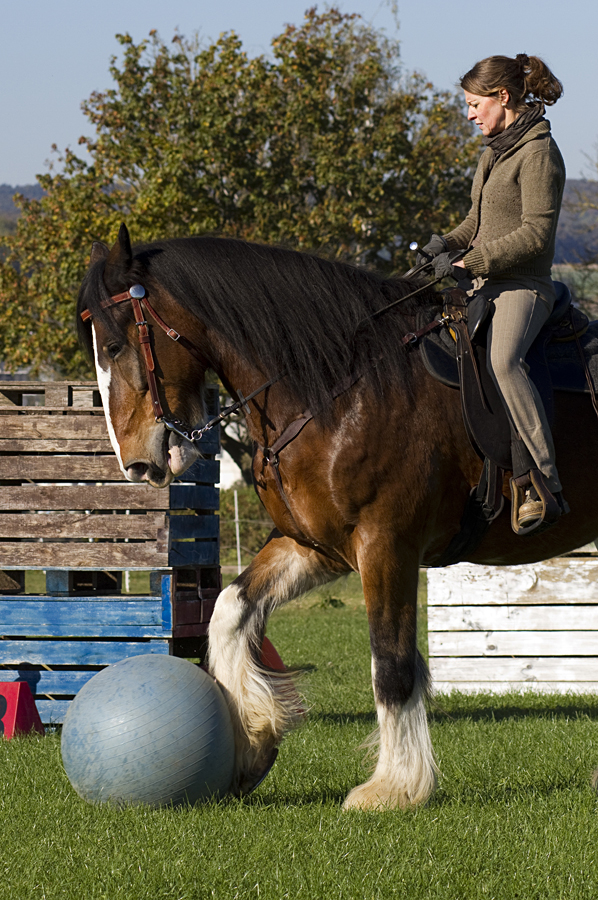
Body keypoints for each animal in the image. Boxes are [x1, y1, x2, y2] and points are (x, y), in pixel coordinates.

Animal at [77, 223, 598, 808]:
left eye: (115, 345)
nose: (136, 464)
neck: (340, 390)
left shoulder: (386, 545)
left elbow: (391, 664)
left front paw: (394, 787)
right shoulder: (317, 546)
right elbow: (230, 611)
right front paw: (254, 737)